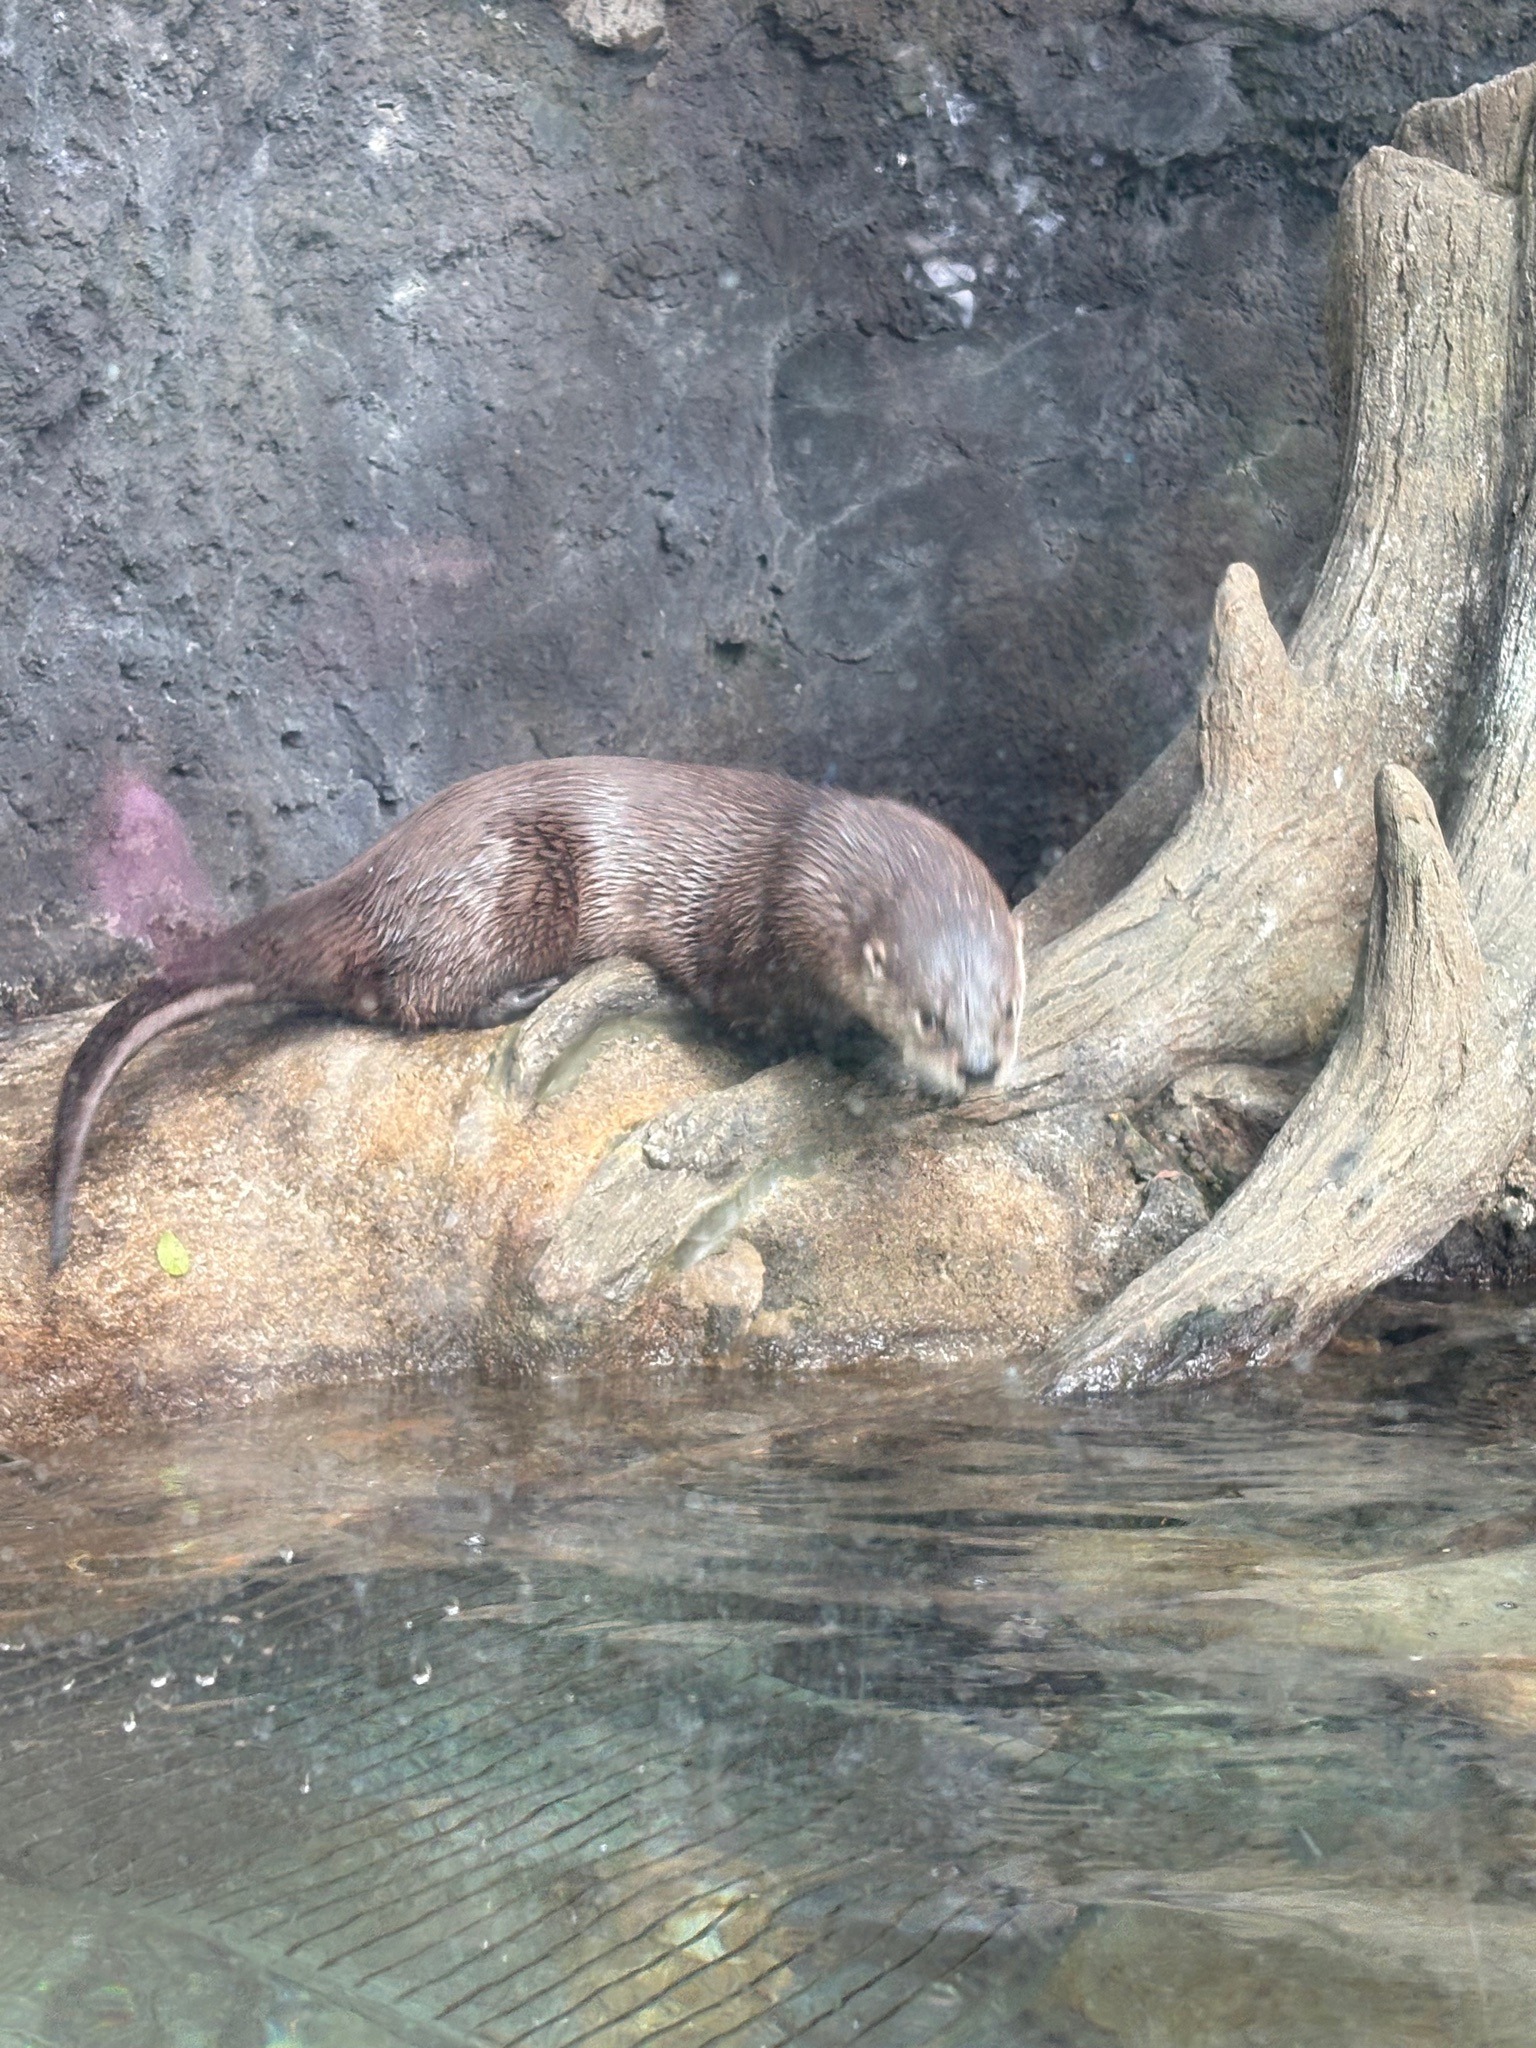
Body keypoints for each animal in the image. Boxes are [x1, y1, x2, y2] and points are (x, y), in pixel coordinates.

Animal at [48, 757, 1024, 1267]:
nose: (978, 1066)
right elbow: (759, 1024)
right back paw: (528, 994)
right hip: (495, 891)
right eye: (930, 1016)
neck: (807, 859)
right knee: (409, 996)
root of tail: (372, 875)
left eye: (1007, 1009)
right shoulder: (754, 946)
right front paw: (868, 1062)